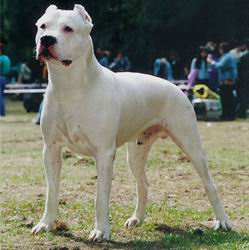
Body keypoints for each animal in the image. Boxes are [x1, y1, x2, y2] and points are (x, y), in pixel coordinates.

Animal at [31, 4, 231, 242]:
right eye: (42, 26)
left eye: (68, 28)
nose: (47, 40)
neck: (71, 86)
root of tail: (176, 87)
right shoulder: (50, 149)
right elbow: (51, 191)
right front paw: (46, 223)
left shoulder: (104, 152)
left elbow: (101, 196)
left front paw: (101, 231)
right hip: (136, 153)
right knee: (143, 184)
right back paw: (137, 219)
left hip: (191, 144)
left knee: (210, 184)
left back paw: (222, 221)